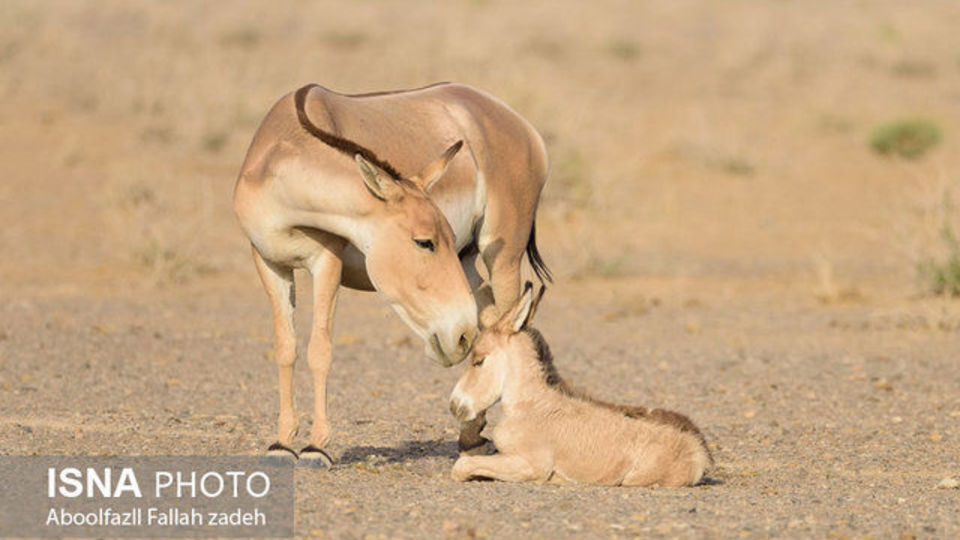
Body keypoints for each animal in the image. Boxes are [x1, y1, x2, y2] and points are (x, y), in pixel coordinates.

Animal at [446, 284, 708, 488]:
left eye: (478, 361)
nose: (454, 405)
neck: (532, 406)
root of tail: (700, 449)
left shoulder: (530, 464)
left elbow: (462, 465)